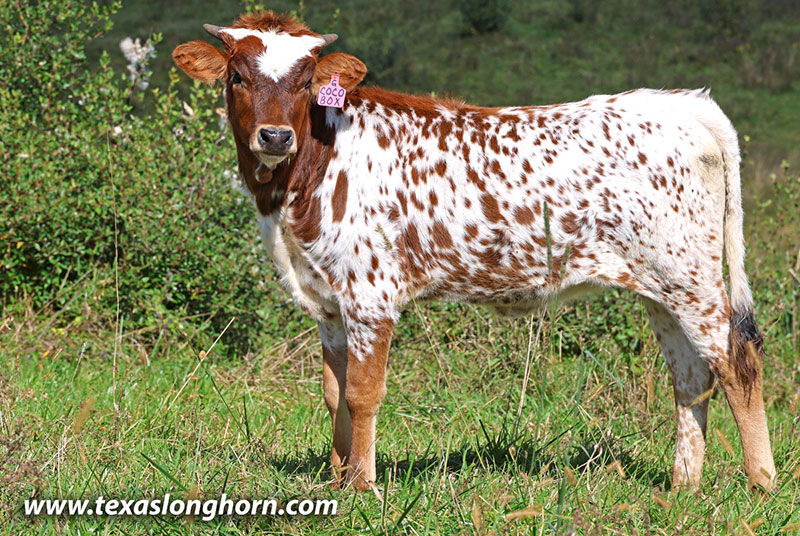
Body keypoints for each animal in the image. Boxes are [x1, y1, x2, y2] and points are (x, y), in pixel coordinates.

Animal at [173, 11, 776, 492]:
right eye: (237, 76)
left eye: (304, 82)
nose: (275, 137)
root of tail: (681, 104)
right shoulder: (328, 303)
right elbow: (333, 393)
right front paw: (336, 479)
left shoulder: (371, 296)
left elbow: (364, 393)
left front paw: (362, 487)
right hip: (660, 287)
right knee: (691, 378)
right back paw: (683, 485)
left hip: (692, 279)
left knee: (737, 364)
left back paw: (760, 484)